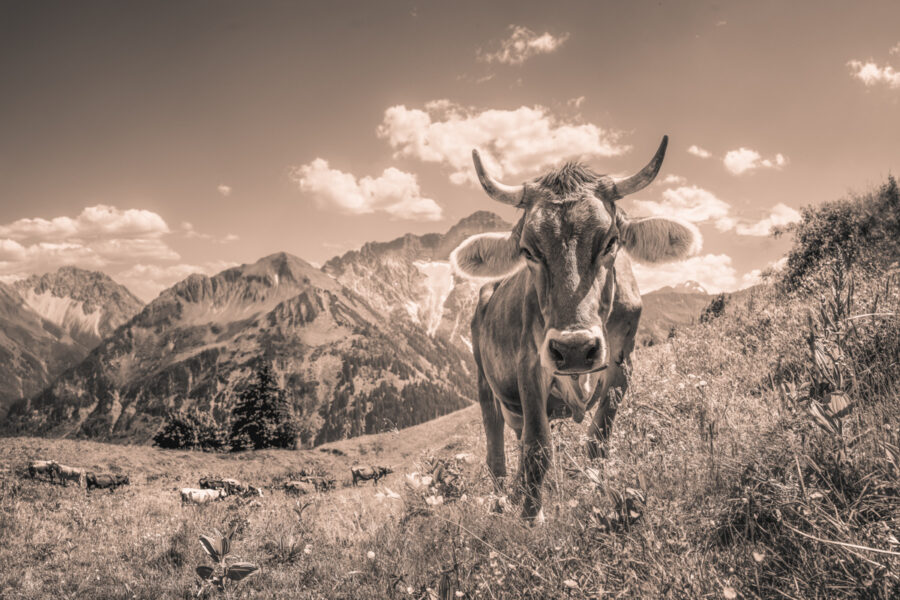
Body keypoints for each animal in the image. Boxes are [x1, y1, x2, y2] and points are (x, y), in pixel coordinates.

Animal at [454, 136, 700, 520]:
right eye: (528, 250)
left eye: (611, 242)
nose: (573, 349)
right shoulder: (531, 364)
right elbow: (538, 448)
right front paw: (531, 517)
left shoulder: (622, 363)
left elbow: (598, 438)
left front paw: (597, 492)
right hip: (484, 383)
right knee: (497, 451)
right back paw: (503, 503)